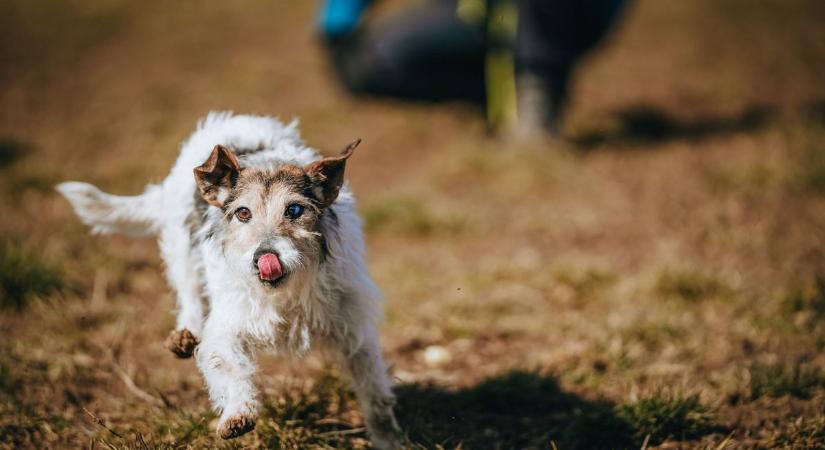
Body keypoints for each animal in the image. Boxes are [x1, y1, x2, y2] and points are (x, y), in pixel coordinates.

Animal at [55, 110, 402, 448]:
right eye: (243, 213)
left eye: (294, 209)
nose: (265, 257)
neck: (285, 294)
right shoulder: (228, 326)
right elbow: (229, 365)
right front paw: (238, 413)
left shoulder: (354, 331)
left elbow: (375, 394)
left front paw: (387, 439)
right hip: (183, 250)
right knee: (190, 296)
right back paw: (185, 335)